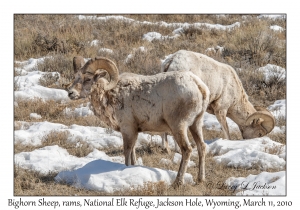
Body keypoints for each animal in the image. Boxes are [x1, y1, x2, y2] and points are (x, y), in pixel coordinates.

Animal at [65, 56, 211, 185]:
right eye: (75, 77)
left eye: (88, 79)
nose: (70, 93)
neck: (110, 95)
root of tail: (199, 86)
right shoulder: (134, 131)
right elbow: (133, 153)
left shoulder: (127, 129)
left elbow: (127, 151)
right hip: (196, 124)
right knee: (202, 147)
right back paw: (200, 179)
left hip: (178, 126)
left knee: (187, 149)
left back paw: (177, 182)